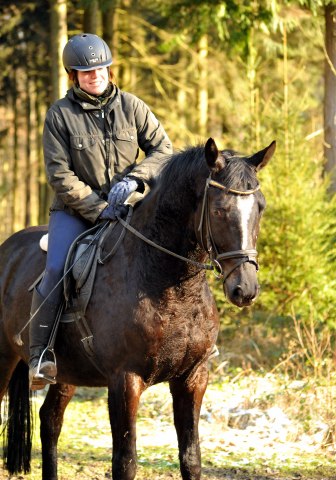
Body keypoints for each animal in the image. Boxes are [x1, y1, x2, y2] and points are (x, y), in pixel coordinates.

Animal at [0, 137, 276, 478]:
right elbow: (126, 461)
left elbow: (191, 458)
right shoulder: (125, 380)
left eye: (260, 207)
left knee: (50, 420)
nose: (245, 289)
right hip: (5, 356)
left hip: (66, 372)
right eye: (219, 210)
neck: (173, 289)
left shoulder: (193, 378)